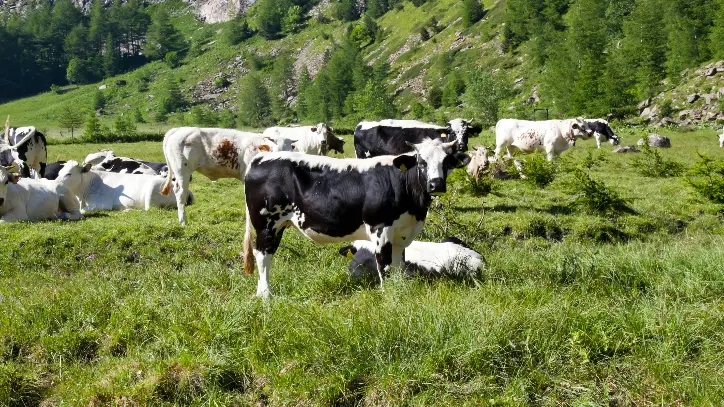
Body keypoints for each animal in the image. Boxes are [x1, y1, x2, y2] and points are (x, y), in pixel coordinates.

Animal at [57, 161, 193, 212]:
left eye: (68, 174)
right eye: (59, 173)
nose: (55, 183)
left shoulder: (102, 204)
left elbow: (83, 210)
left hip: (152, 192)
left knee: (147, 210)